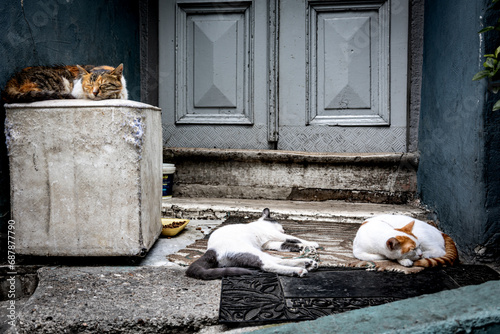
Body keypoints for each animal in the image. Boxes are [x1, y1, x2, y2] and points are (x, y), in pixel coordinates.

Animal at [186, 207, 318, 280]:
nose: (283, 229)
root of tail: (211, 249)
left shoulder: (268, 243)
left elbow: (286, 245)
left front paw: (304, 247)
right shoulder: (275, 234)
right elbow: (294, 238)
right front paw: (312, 243)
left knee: (274, 261)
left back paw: (307, 263)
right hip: (251, 250)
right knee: (268, 264)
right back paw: (301, 269)